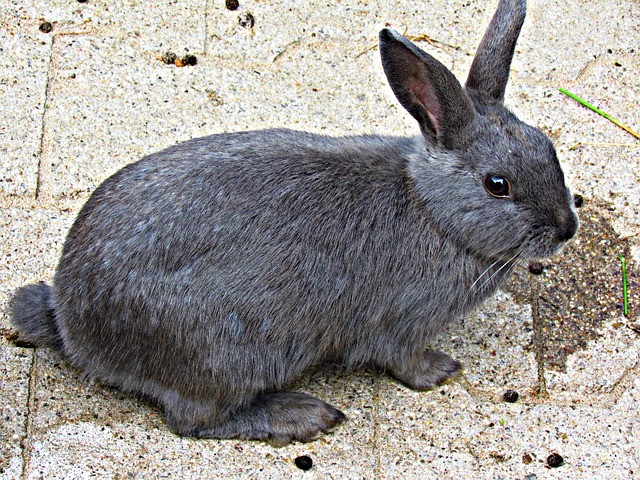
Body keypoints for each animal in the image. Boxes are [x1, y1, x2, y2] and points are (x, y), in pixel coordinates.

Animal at [11, 0, 580, 444]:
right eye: (497, 184)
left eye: (547, 147)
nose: (566, 229)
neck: (432, 208)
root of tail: (73, 325)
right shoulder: (400, 325)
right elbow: (404, 361)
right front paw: (441, 371)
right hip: (222, 352)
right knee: (194, 420)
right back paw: (302, 414)